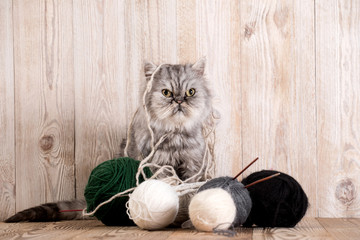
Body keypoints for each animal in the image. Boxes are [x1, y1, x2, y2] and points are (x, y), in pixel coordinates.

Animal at [4, 58, 214, 223]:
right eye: (166, 93)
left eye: (191, 92)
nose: (179, 101)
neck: (175, 136)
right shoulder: (159, 167)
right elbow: (172, 190)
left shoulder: (193, 167)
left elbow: (189, 193)